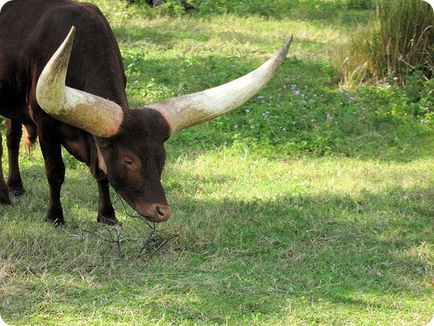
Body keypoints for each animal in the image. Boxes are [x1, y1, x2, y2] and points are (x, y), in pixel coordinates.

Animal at [0, 0, 292, 224]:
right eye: (129, 160)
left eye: (161, 158)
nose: (161, 211)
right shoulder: (45, 122)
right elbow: (55, 172)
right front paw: (55, 217)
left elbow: (102, 173)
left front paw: (107, 216)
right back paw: (4, 196)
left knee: (12, 138)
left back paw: (16, 186)